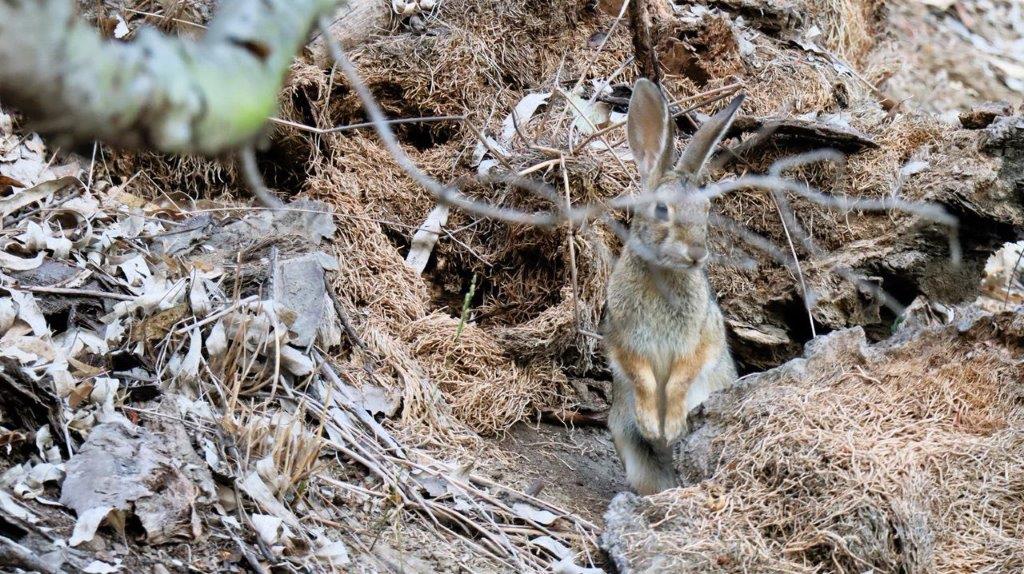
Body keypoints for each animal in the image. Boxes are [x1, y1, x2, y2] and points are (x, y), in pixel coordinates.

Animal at [598, 78, 745, 495]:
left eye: (707, 209)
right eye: (662, 209)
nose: (697, 253)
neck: (663, 271)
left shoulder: (701, 338)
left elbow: (684, 374)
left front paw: (673, 424)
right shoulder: (624, 339)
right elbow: (641, 377)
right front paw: (653, 426)